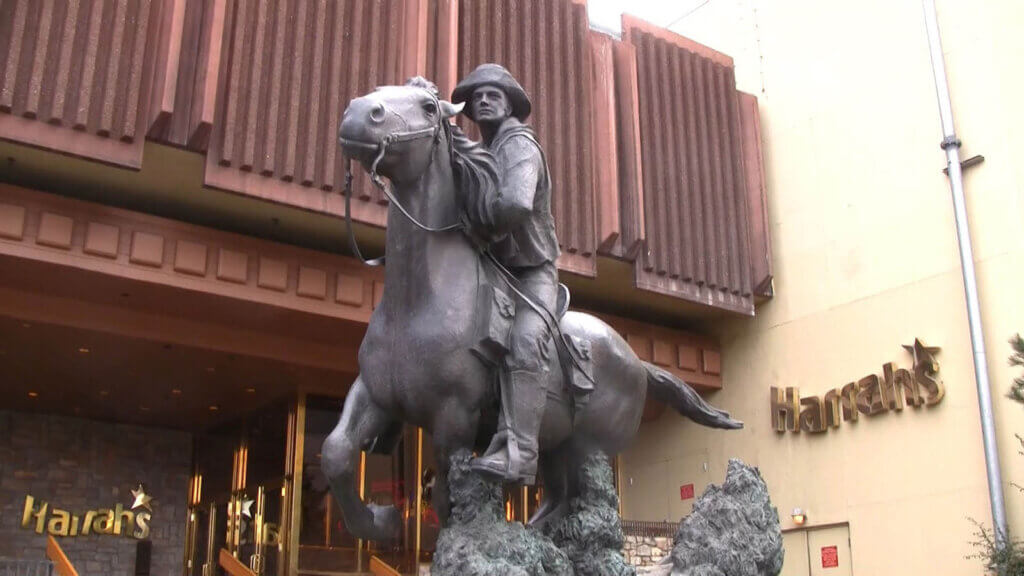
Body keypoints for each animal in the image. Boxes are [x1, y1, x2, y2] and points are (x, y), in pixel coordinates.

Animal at [323, 78, 741, 541]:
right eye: (378, 90)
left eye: (429, 107)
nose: (360, 113)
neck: (418, 303)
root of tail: (639, 363)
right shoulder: (374, 393)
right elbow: (336, 451)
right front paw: (380, 521)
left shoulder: (455, 415)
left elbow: (448, 493)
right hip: (555, 444)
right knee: (556, 500)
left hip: (587, 448)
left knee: (585, 500)